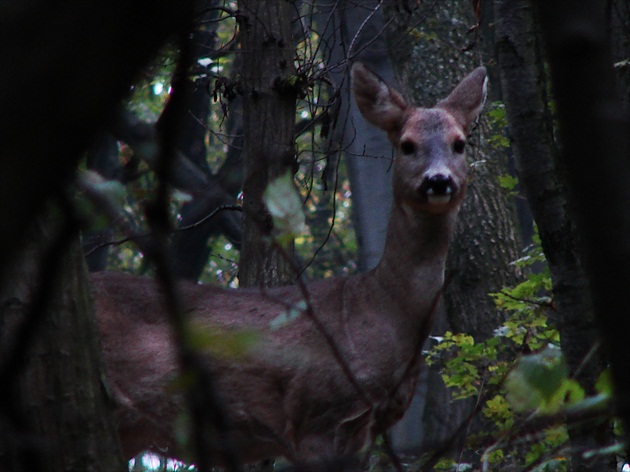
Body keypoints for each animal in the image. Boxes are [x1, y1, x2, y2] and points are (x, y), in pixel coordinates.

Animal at [92, 61, 488, 464]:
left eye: (459, 143)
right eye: (407, 145)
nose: (438, 181)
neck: (380, 311)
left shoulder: (364, 433)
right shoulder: (315, 413)